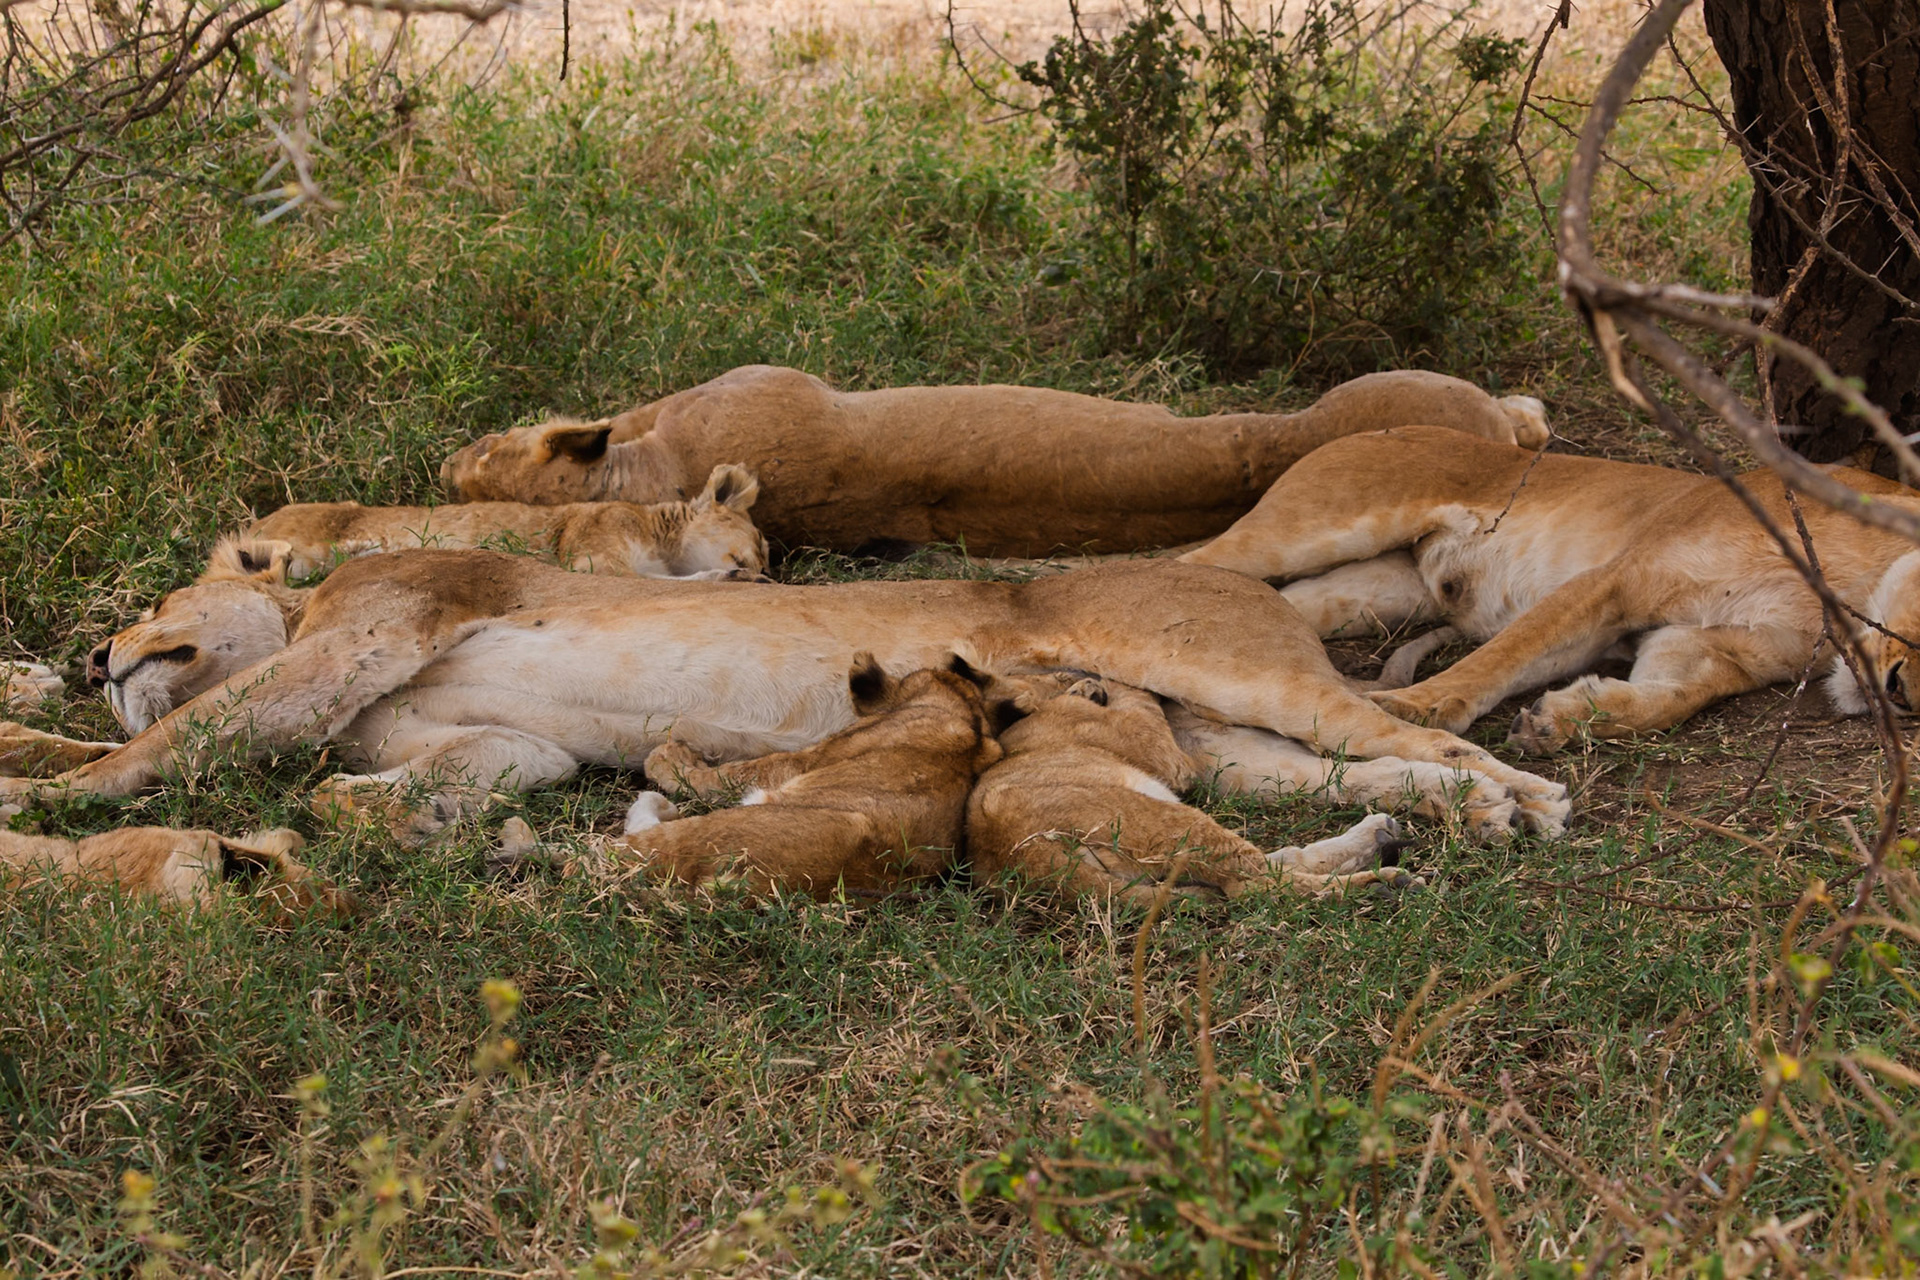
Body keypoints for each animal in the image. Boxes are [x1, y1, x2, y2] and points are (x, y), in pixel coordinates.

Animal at [624, 653, 1010, 898]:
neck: (965, 716)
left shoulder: (806, 761)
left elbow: (729, 774)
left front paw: (668, 758)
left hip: (715, 831)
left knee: (627, 847)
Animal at [968, 676, 1418, 904]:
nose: (1081, 677)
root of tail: (1019, 856)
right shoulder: (1163, 753)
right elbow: (1140, 697)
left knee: (1268, 865)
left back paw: (1377, 838)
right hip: (1165, 821)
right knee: (1250, 885)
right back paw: (1380, 883)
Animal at [1179, 425, 1920, 752]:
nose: (1905, 697)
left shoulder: (1704, 645)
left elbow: (1668, 701)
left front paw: (1561, 719)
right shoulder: (1619, 579)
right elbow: (1497, 658)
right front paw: (1412, 709)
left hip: (1380, 590)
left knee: (1269, 605)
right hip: (1305, 530)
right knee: (1187, 564)